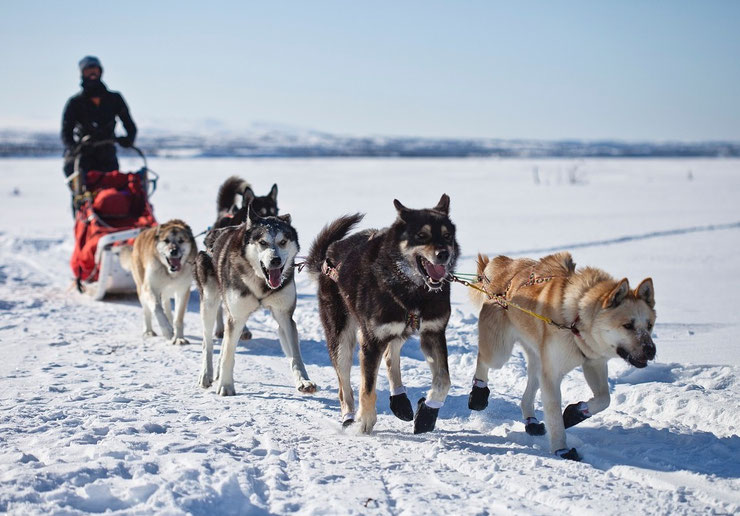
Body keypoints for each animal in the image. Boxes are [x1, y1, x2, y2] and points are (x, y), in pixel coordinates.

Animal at [194, 204, 316, 394]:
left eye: (283, 242)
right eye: (263, 242)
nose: (275, 260)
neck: (261, 283)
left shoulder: (284, 316)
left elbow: (295, 355)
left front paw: (303, 381)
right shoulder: (237, 317)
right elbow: (228, 353)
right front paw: (226, 386)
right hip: (209, 303)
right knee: (208, 343)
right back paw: (206, 374)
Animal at [304, 196, 456, 434]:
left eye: (447, 235)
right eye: (421, 235)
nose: (444, 254)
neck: (413, 291)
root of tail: (328, 256)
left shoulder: (433, 332)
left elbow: (444, 380)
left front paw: (427, 412)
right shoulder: (371, 341)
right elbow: (367, 388)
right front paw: (365, 421)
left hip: (398, 330)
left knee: (390, 356)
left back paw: (400, 400)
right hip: (341, 339)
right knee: (344, 384)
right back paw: (349, 417)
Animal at [472, 252, 656, 462]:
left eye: (649, 325)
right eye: (628, 325)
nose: (651, 350)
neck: (576, 320)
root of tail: (503, 264)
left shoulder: (593, 363)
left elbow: (604, 398)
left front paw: (574, 413)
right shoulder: (552, 375)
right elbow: (554, 416)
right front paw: (561, 449)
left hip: (538, 361)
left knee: (528, 393)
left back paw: (531, 421)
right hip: (500, 353)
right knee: (483, 360)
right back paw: (478, 393)